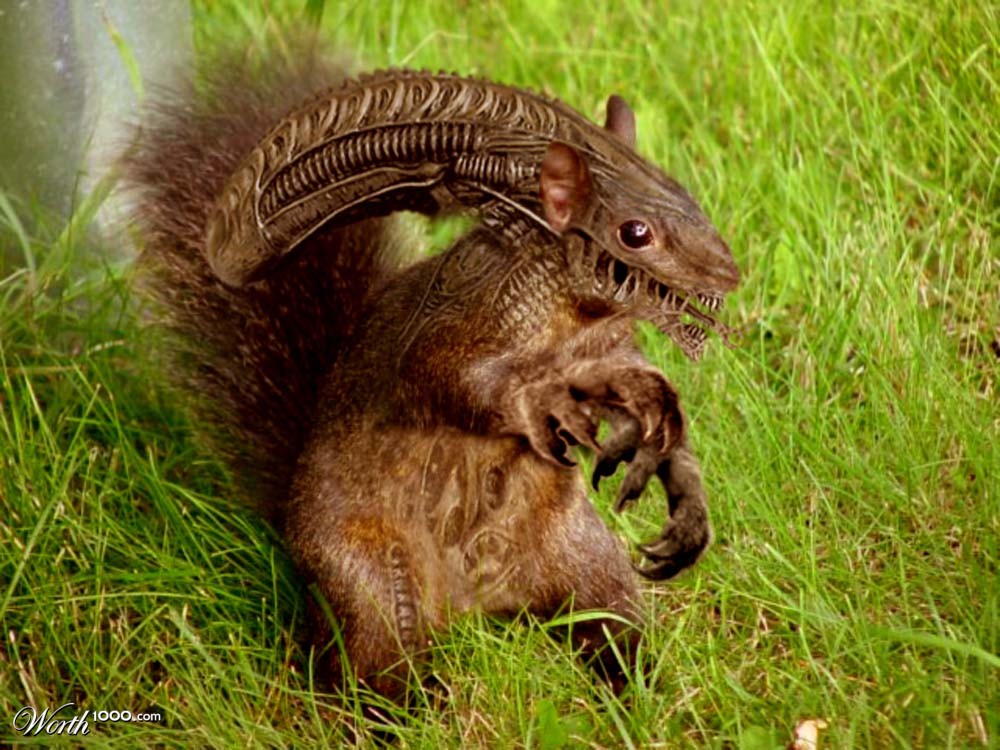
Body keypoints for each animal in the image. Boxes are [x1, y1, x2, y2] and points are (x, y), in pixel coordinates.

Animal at [125, 46, 740, 702]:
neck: (573, 326)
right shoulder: (450, 332)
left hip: (587, 568)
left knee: (611, 630)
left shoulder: (613, 353)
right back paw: (409, 706)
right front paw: (548, 404)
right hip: (370, 587)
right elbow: (458, 383)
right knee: (366, 672)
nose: (728, 275)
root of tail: (475, 608)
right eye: (635, 233)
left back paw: (640, 689)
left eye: (686, 195)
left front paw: (671, 460)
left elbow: (638, 388)